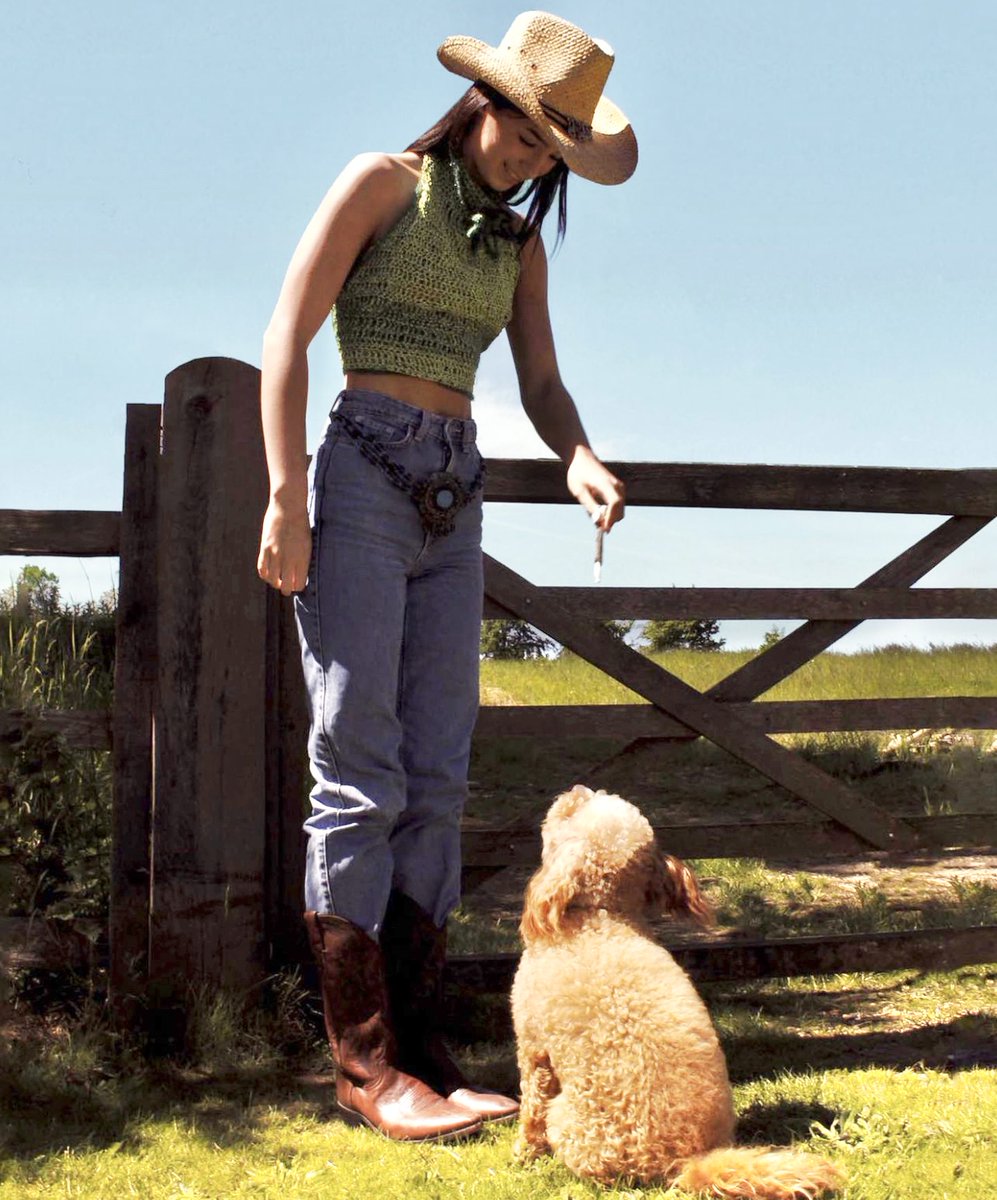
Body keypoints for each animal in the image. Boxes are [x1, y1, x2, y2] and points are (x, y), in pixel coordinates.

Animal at [511, 787, 844, 1200]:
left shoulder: (533, 1047)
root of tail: (684, 1161)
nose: (576, 790)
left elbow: (531, 1108)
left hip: (568, 1120)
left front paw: (524, 1154)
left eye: (572, 812)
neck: (600, 919)